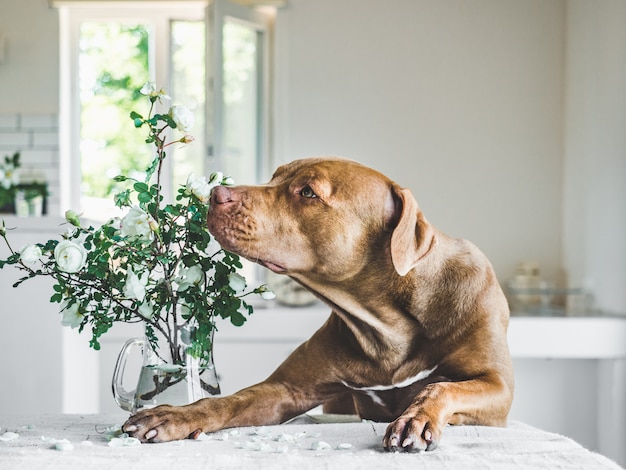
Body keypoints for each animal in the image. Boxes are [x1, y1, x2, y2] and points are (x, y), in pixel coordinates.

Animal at [122, 157, 512, 452]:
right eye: (275, 177)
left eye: (308, 192)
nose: (216, 192)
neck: (388, 324)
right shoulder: (286, 390)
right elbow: (228, 401)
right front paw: (175, 415)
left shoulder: (497, 387)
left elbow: (442, 386)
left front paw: (416, 419)